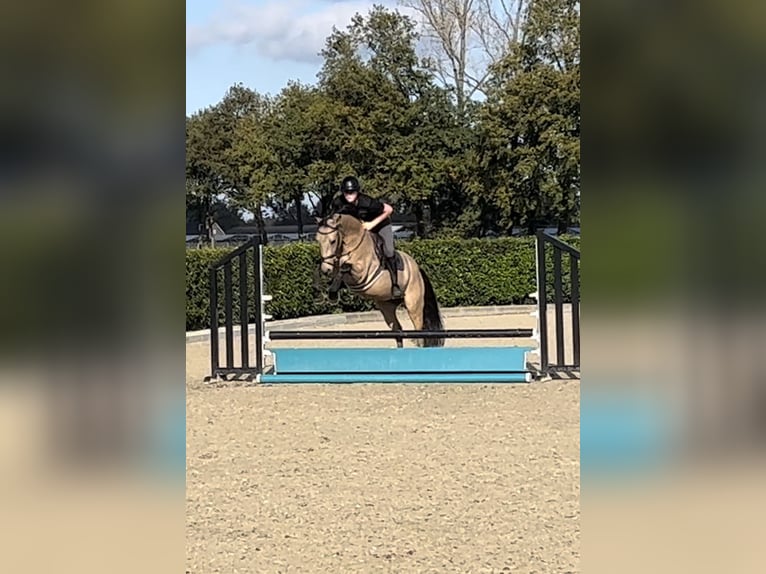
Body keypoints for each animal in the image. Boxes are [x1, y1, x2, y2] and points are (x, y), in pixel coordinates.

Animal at [316, 214, 444, 348]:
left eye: (332, 241)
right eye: (318, 240)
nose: (325, 270)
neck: (354, 244)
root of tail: (418, 269)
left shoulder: (362, 273)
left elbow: (345, 268)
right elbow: (338, 272)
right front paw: (331, 293)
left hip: (413, 304)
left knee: (419, 331)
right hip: (386, 306)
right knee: (397, 329)